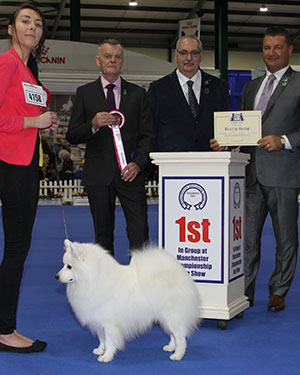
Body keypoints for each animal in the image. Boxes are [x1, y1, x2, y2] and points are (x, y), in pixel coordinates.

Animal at [56, 241, 202, 364]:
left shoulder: (110, 324)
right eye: (64, 264)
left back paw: (178, 354)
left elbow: (109, 341)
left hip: (171, 315)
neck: (93, 279)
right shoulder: (98, 321)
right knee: (173, 335)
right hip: (164, 317)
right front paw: (100, 350)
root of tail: (178, 271)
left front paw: (106, 356)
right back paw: (171, 347)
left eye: (69, 266)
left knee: (180, 336)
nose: (56, 276)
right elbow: (101, 338)